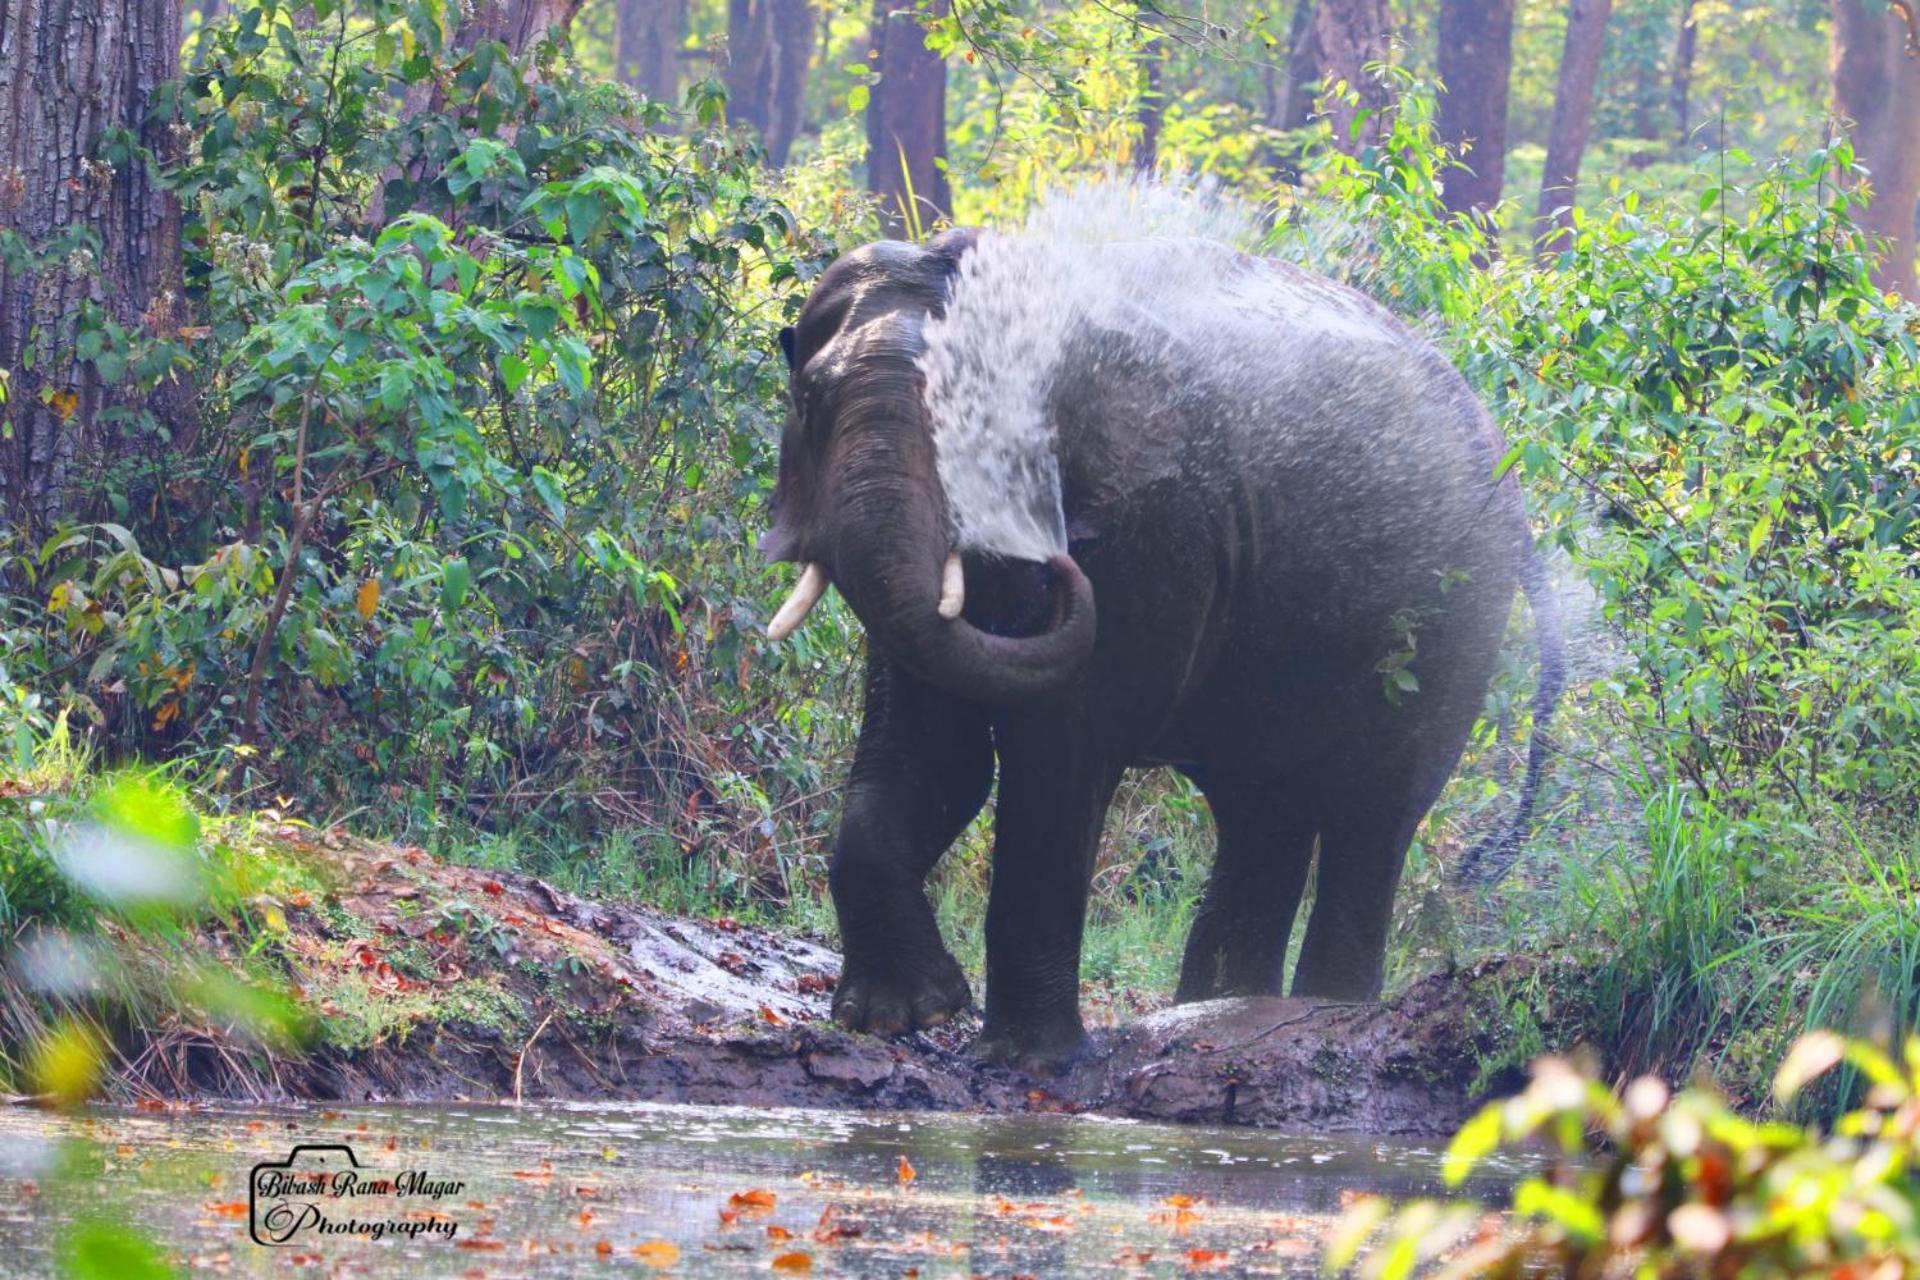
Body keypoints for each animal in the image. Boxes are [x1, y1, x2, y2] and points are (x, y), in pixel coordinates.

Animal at [756, 220, 1566, 1074]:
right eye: (808, 402)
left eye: (977, 415)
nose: (1061, 566)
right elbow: (936, 753)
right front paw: (901, 1016)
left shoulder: (1155, 527)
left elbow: (1061, 756)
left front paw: (1025, 1060)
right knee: (1264, 807)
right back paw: (1225, 1012)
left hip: (1459, 613)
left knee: (1373, 807)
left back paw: (1322, 1013)